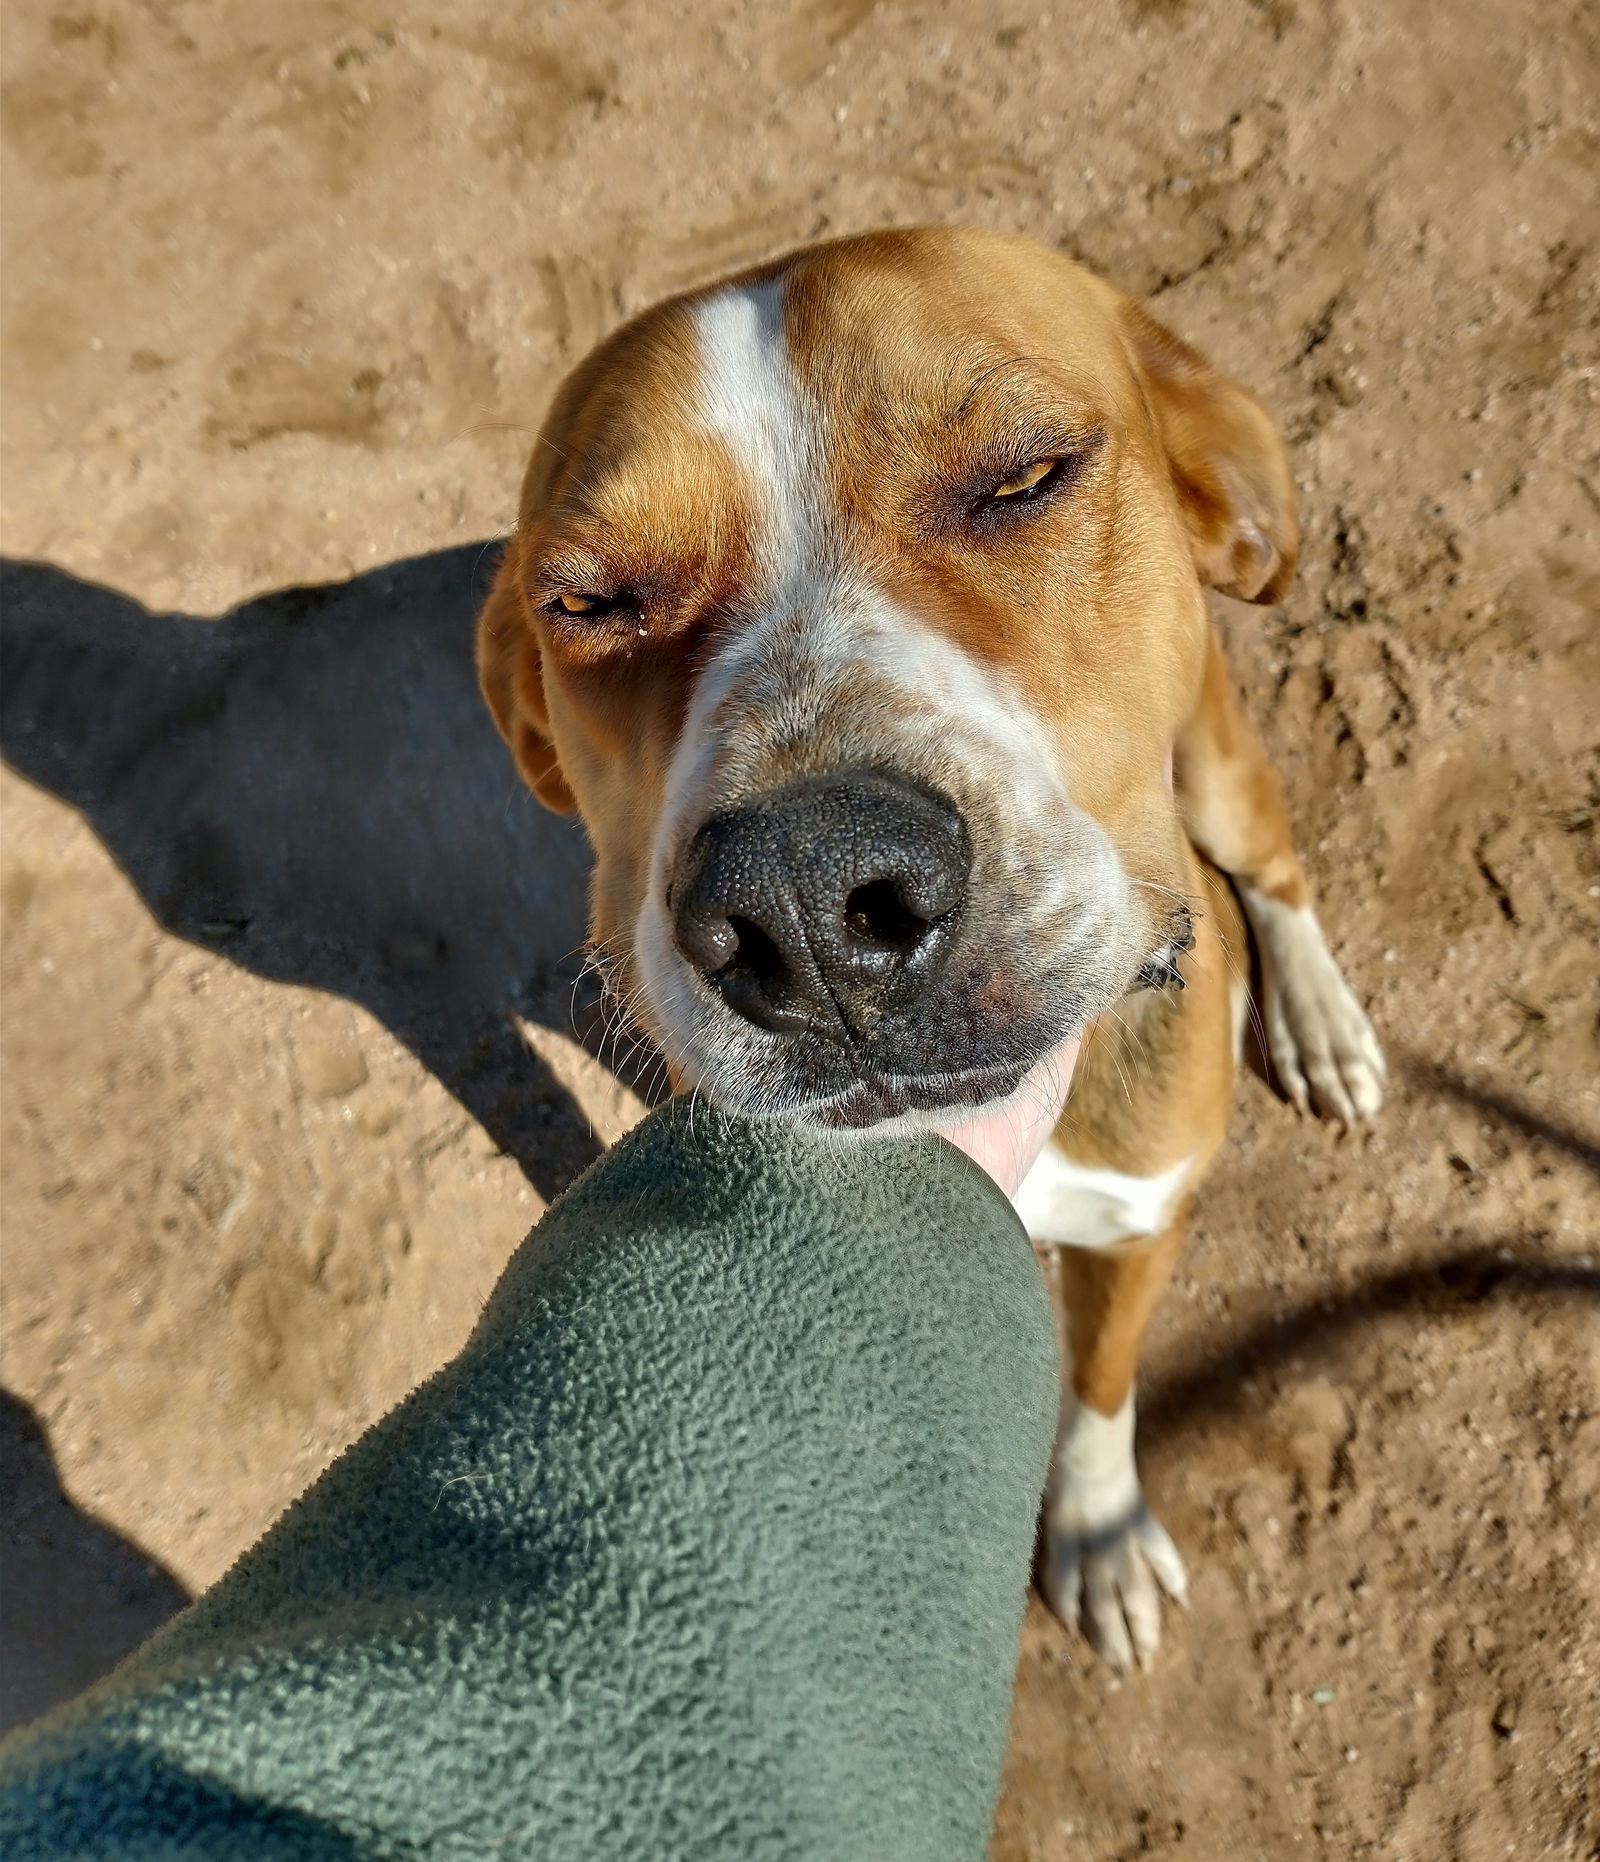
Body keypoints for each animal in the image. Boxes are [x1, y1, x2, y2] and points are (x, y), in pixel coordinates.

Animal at [476, 229, 1385, 1675]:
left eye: (1026, 477)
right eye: (588, 601)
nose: (802, 898)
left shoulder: (1143, 1221)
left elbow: (1103, 1385)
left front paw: (1098, 1526)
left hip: (1224, 762)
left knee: (1277, 870)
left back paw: (1321, 1020)